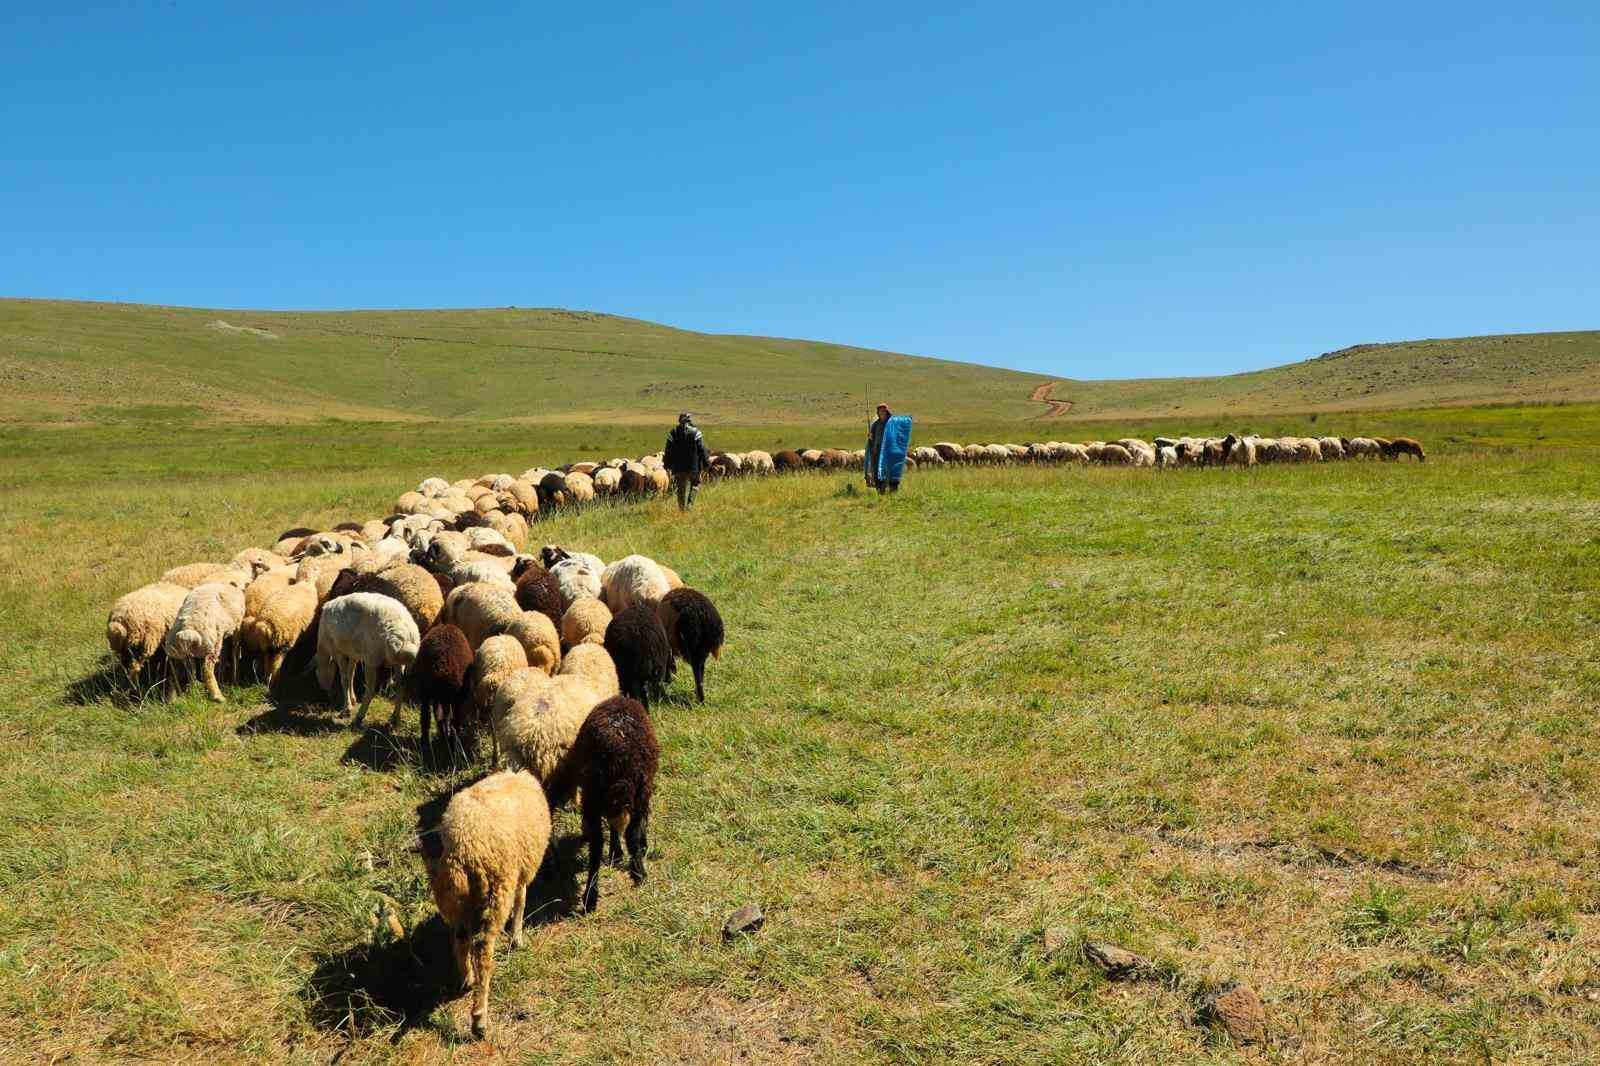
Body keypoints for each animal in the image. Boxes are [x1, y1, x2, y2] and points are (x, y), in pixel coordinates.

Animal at [313, 585, 419, 726]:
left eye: (316, 674)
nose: (327, 695)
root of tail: (404, 634)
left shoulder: (338, 651)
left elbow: (344, 678)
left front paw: (347, 708)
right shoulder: (354, 654)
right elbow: (351, 674)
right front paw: (352, 699)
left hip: (372, 658)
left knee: (371, 688)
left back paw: (359, 717)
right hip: (398, 662)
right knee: (400, 685)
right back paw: (394, 718)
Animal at [419, 768, 550, 1030]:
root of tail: (462, 853)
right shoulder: (521, 872)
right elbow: (521, 902)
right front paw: (517, 939)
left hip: (457, 902)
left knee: (460, 939)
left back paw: (467, 980)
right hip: (497, 891)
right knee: (482, 948)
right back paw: (479, 1017)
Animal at [553, 694, 659, 909]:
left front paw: (616, 855)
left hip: (594, 798)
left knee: (597, 846)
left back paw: (590, 897)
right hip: (635, 793)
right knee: (628, 835)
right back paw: (638, 873)